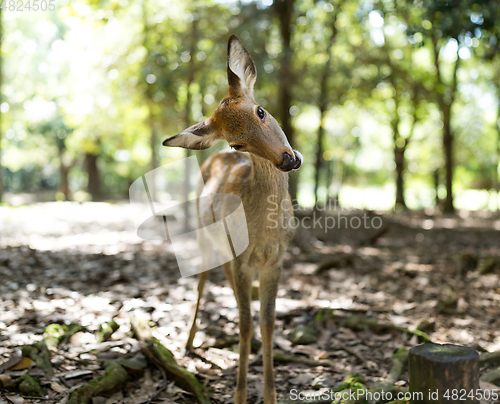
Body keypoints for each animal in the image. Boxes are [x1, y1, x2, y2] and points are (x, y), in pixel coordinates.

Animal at [163, 34, 300, 404]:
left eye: (260, 110)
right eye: (238, 143)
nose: (287, 159)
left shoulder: (277, 260)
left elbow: (267, 321)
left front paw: (270, 394)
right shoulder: (240, 260)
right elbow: (246, 323)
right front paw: (239, 394)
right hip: (206, 242)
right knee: (201, 284)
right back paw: (188, 341)